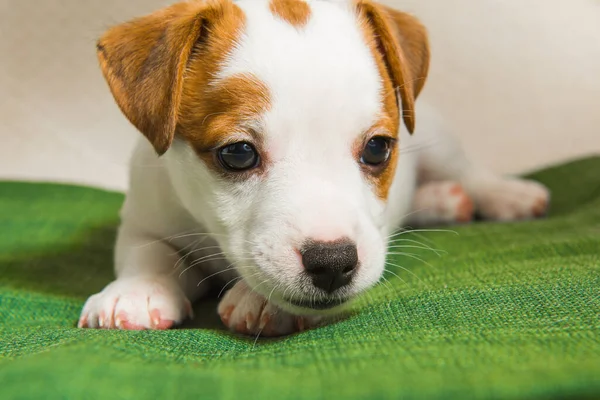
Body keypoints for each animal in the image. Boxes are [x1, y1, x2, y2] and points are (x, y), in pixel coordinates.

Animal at [77, 0, 552, 336]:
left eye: (377, 149)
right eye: (238, 154)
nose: (332, 262)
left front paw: (263, 300)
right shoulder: (143, 217)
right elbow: (148, 252)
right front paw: (139, 289)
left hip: (439, 140)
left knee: (469, 172)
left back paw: (505, 194)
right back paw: (442, 200)